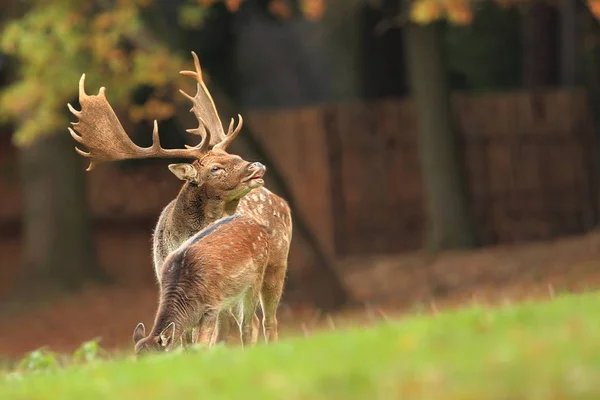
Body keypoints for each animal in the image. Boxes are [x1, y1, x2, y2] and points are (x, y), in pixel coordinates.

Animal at [134, 214, 272, 354]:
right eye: (136, 357)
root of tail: (260, 226)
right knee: (253, 321)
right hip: (233, 293)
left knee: (247, 324)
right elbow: (188, 346)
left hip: (256, 279)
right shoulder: (187, 323)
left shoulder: (211, 308)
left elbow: (202, 345)